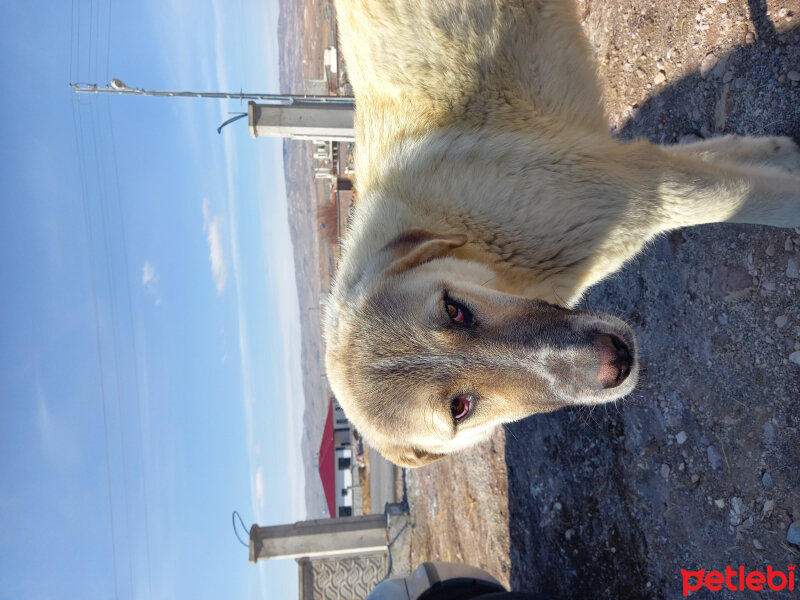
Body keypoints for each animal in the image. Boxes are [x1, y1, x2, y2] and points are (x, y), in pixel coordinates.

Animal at [324, 0, 800, 468]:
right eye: (460, 408)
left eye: (454, 310)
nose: (615, 360)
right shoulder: (651, 182)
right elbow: (739, 170)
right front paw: (780, 152)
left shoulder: (648, 186)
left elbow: (767, 193)